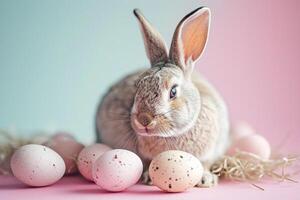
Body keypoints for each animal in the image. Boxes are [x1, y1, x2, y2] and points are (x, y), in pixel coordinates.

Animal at [96, 6, 230, 188]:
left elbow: (206, 163)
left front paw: (206, 180)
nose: (144, 119)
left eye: (173, 92)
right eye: (138, 86)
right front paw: (149, 177)